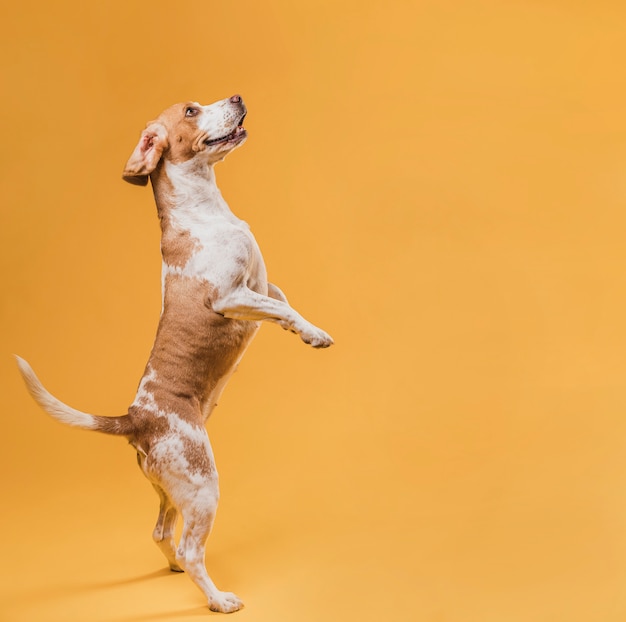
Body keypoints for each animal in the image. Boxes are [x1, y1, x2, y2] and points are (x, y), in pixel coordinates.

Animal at [14, 95, 334, 616]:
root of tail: (135, 418)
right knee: (188, 546)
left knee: (162, 533)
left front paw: (304, 329)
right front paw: (313, 334)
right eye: (190, 110)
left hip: (170, 489)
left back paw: (177, 572)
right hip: (203, 487)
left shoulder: (263, 285)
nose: (238, 97)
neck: (207, 211)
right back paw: (218, 600)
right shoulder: (231, 297)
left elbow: (285, 303)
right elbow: (281, 307)